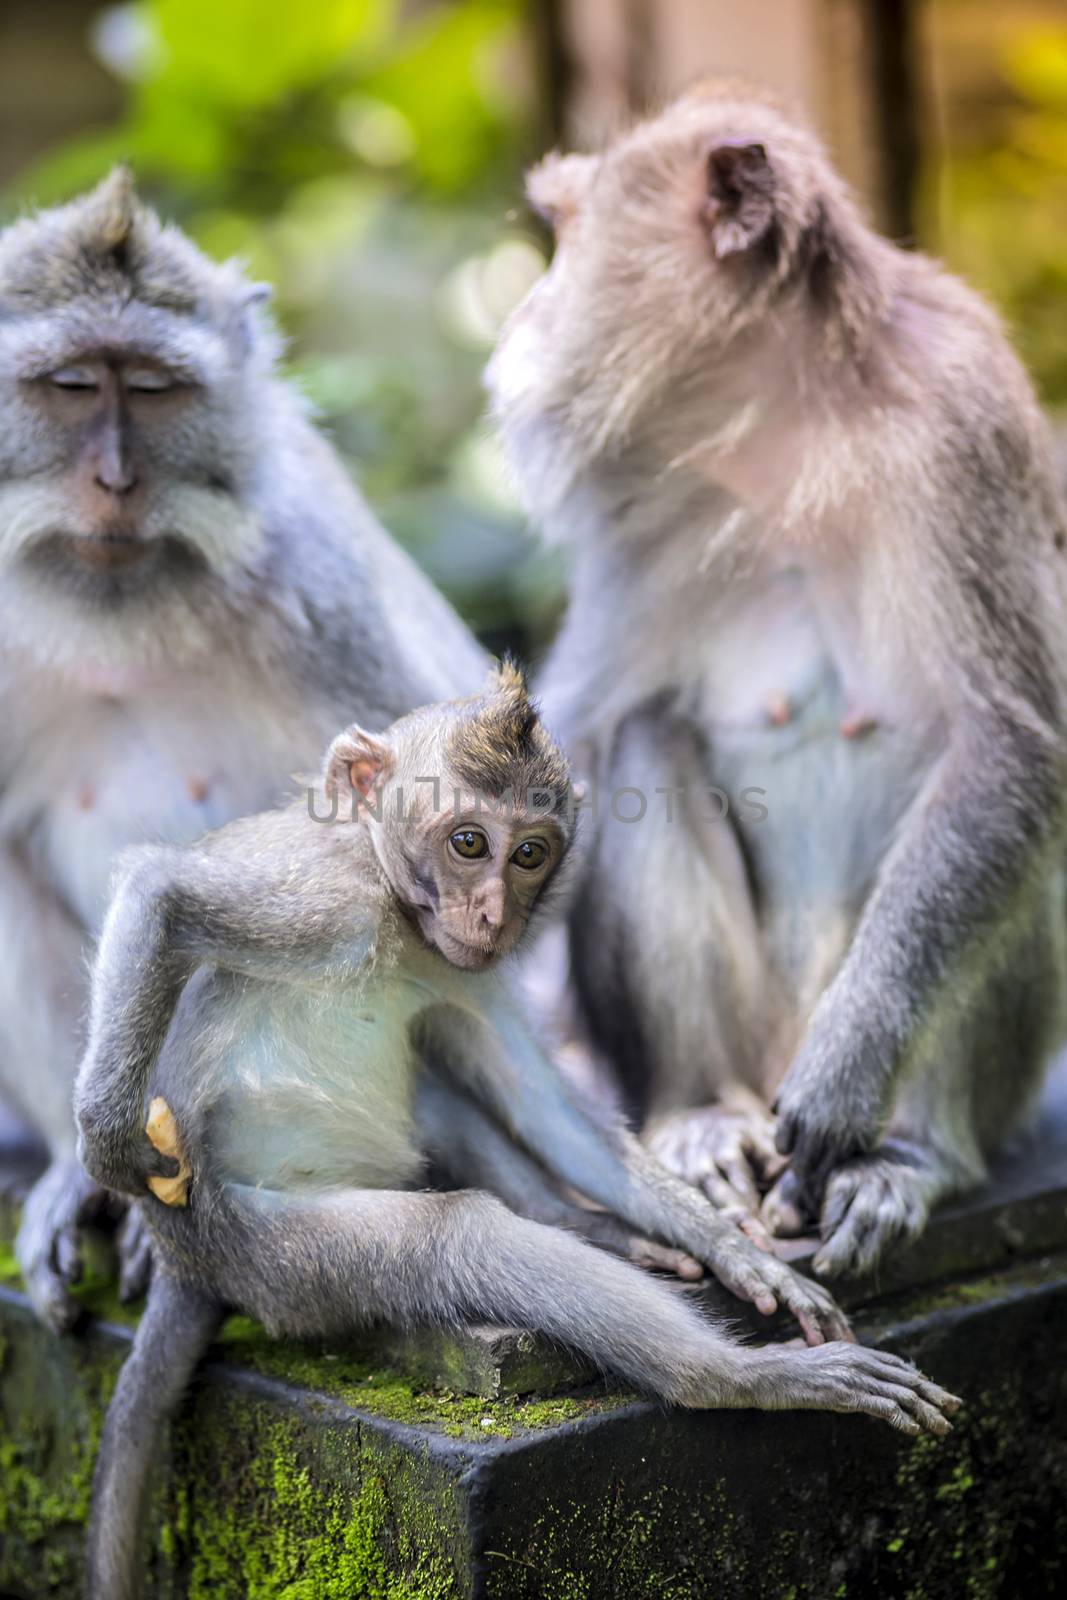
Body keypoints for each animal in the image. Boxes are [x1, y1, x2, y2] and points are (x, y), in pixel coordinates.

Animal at [75, 672, 959, 1600]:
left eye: (529, 853)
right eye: (469, 842)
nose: (494, 912)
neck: (397, 911)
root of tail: (186, 1262)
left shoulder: (461, 967)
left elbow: (544, 1104)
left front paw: (731, 1247)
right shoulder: (331, 902)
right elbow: (160, 894)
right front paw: (109, 1138)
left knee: (438, 1082)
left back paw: (586, 1225)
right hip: (269, 1255)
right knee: (455, 1238)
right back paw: (736, 1379)